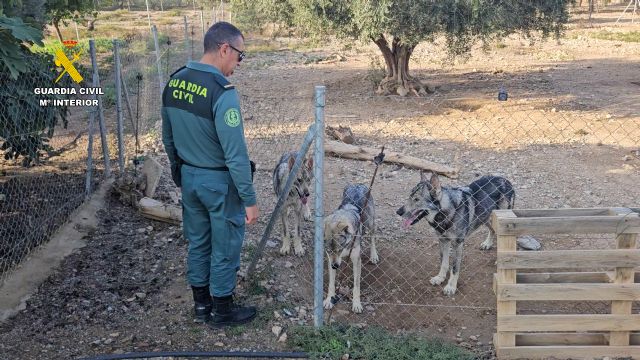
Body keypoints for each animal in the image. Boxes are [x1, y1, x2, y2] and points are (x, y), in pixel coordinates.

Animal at [322, 184, 378, 314]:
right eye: (329, 251)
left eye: (339, 249)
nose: (335, 266)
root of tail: (358, 184)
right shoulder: (330, 260)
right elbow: (331, 283)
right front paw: (329, 300)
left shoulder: (356, 260)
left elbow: (356, 287)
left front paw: (356, 304)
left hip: (370, 223)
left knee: (373, 236)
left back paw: (374, 256)